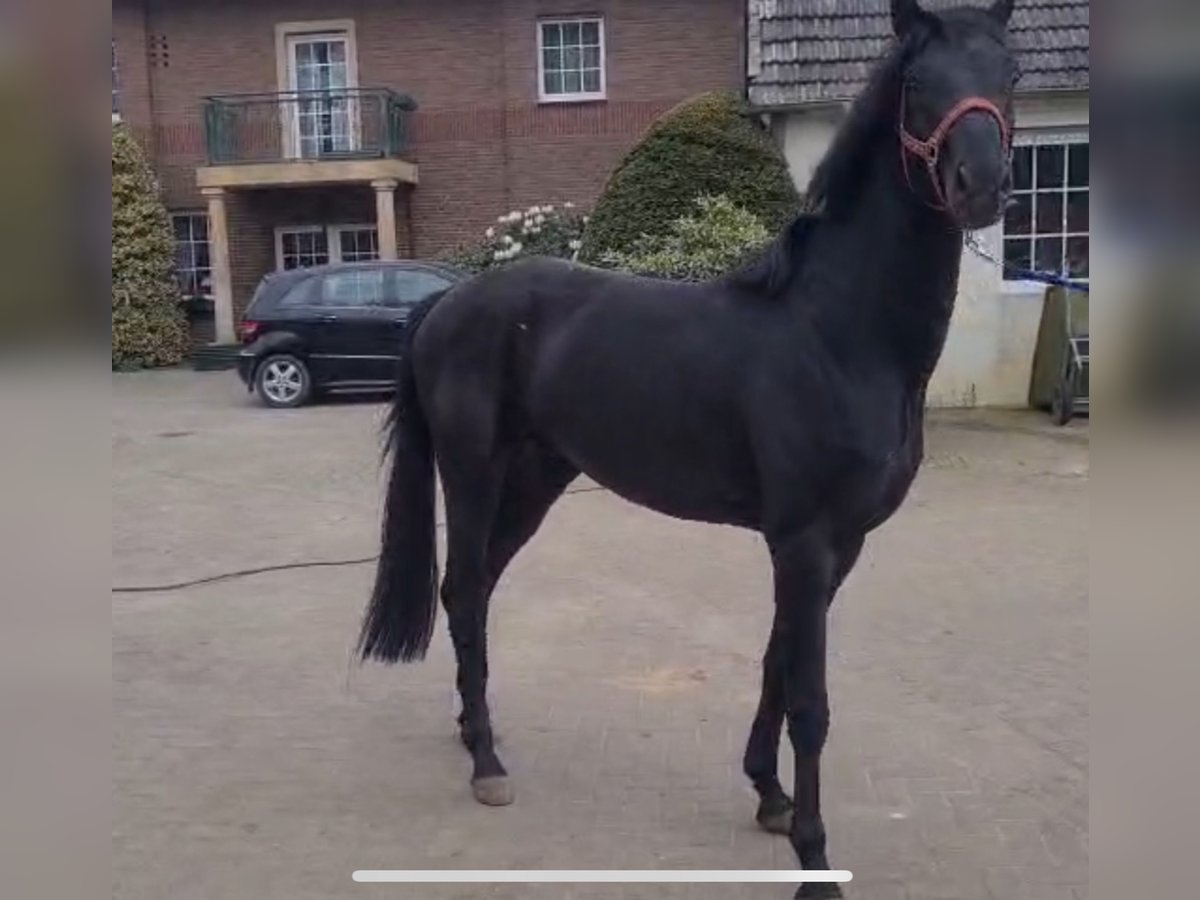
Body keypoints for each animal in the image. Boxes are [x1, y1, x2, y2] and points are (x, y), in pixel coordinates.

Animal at [358, 1, 1019, 894]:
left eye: (1009, 72)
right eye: (918, 82)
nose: (979, 185)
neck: (838, 333)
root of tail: (448, 301)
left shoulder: (834, 546)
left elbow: (777, 664)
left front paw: (768, 796)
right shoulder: (804, 542)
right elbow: (811, 703)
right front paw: (814, 854)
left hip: (535, 478)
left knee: (477, 591)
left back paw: (473, 732)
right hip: (472, 472)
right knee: (462, 589)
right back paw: (488, 763)